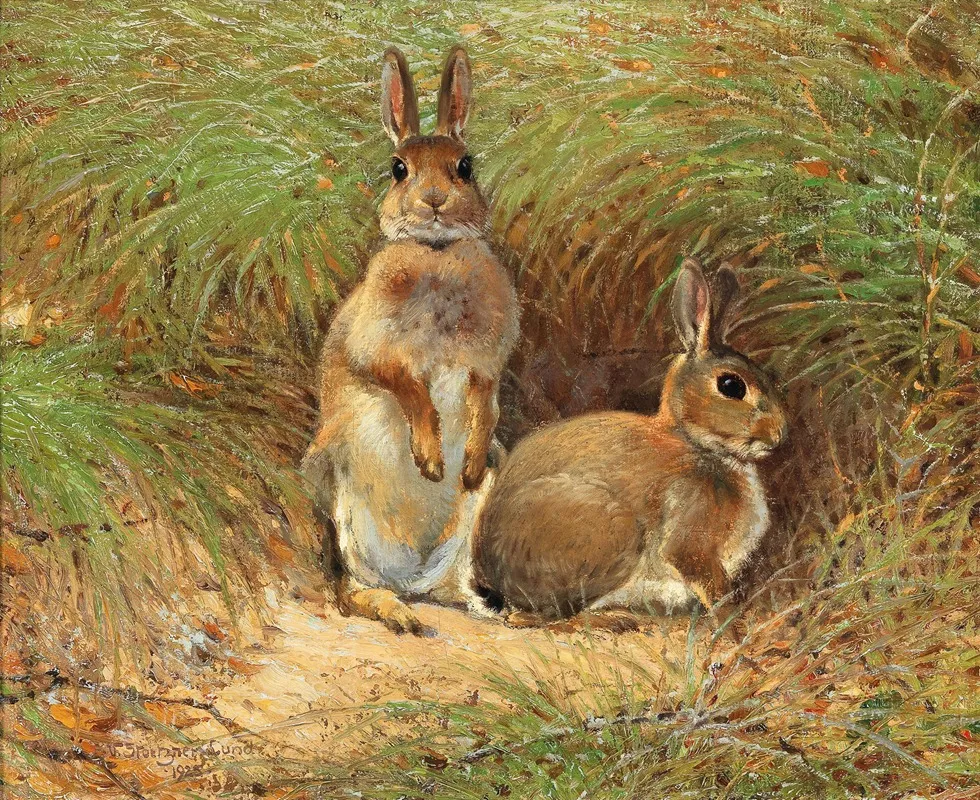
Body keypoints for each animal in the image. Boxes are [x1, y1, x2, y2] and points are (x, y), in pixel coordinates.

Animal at [302, 45, 519, 635]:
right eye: (398, 169)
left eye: (466, 166)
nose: (435, 201)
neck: (436, 254)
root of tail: (414, 575)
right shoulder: (375, 348)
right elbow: (408, 387)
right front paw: (430, 460)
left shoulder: (486, 363)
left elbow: (484, 400)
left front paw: (463, 464)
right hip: (344, 502)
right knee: (349, 587)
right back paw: (396, 612)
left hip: (471, 519)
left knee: (456, 584)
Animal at [470, 258, 786, 632]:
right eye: (731, 386)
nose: (779, 434)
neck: (697, 443)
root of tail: (491, 578)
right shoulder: (690, 537)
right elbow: (711, 585)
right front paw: (734, 623)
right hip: (613, 535)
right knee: (539, 617)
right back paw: (612, 619)